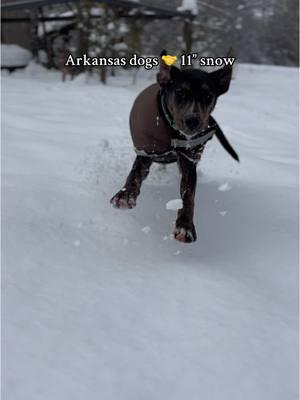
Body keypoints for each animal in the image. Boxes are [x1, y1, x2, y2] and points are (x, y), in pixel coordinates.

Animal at [109, 50, 234, 244]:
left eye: (207, 96)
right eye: (180, 92)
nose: (192, 121)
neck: (173, 132)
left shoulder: (189, 160)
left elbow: (188, 195)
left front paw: (185, 226)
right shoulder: (146, 152)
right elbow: (135, 173)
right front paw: (125, 194)